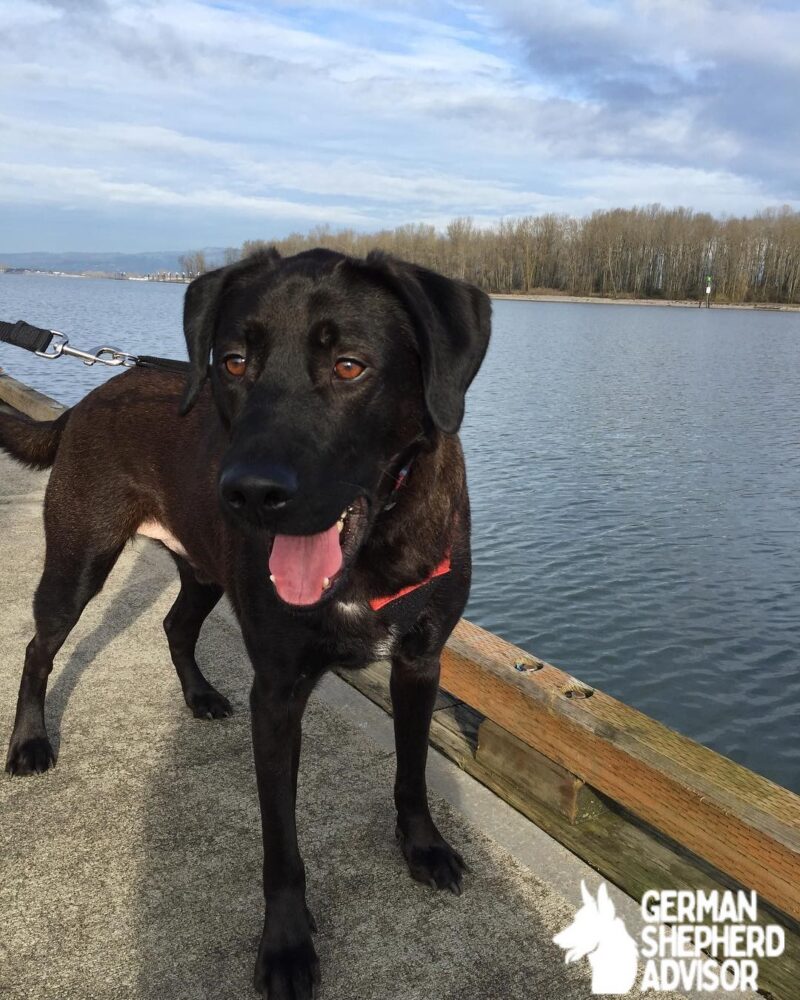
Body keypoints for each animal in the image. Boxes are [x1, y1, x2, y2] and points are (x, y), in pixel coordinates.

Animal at [0, 250, 490, 1000]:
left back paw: (199, 695)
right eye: (232, 362)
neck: (370, 551)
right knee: (38, 645)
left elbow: (412, 771)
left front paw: (424, 847)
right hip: (80, 561)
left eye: (349, 365)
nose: (249, 491)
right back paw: (30, 741)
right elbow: (281, 844)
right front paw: (286, 946)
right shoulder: (280, 693)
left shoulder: (419, 661)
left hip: (203, 571)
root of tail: (94, 394)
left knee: (175, 625)